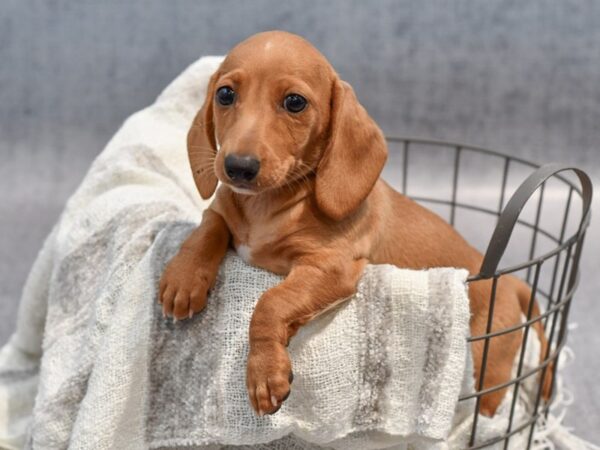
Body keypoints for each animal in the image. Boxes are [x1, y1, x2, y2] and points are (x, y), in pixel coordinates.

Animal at [157, 31, 552, 416]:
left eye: (295, 102)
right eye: (225, 94)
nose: (238, 167)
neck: (268, 206)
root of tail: (512, 281)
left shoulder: (330, 267)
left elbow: (271, 301)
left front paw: (264, 372)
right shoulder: (224, 211)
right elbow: (209, 226)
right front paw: (184, 276)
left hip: (489, 361)